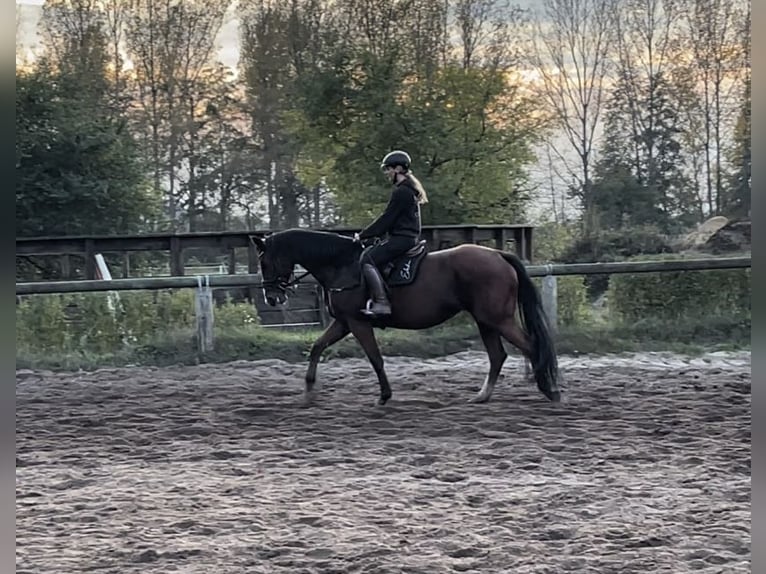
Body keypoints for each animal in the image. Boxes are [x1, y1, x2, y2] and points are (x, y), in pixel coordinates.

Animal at [255, 227, 560, 408]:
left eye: (265, 262)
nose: (272, 297)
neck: (341, 265)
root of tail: (498, 254)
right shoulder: (343, 322)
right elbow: (317, 348)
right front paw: (308, 393)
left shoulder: (357, 323)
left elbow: (375, 358)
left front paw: (384, 396)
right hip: (486, 320)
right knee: (498, 356)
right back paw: (482, 396)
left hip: (498, 319)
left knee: (531, 346)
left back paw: (549, 389)